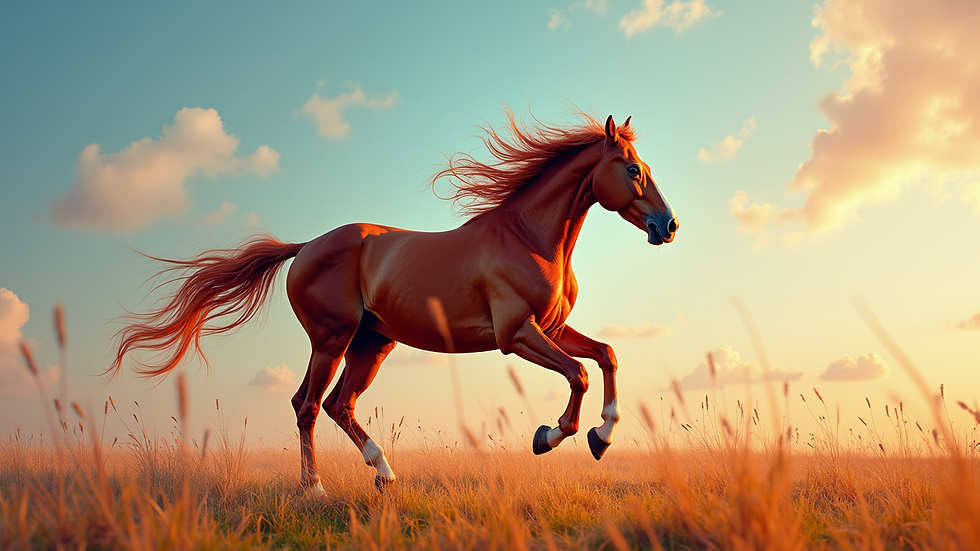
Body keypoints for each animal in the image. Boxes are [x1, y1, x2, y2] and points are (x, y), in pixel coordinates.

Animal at [110, 111, 678, 492]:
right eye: (632, 170)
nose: (667, 226)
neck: (528, 238)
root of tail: (306, 246)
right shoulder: (517, 334)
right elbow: (577, 374)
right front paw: (551, 435)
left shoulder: (552, 329)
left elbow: (606, 356)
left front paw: (602, 437)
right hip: (332, 340)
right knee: (310, 406)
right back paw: (316, 489)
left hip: (370, 345)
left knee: (334, 405)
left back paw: (382, 473)